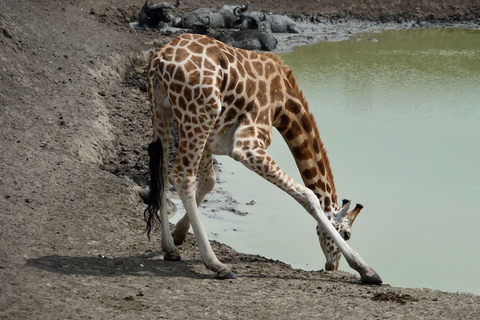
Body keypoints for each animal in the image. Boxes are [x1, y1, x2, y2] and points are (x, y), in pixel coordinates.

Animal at [143, 31, 382, 282]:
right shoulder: (246, 144)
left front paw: (179, 234)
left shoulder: (212, 138)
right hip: (200, 114)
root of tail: (160, 60)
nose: (332, 266)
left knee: (161, 172)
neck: (284, 103)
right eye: (346, 234)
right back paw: (217, 265)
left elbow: (209, 182)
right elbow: (309, 197)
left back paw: (169, 249)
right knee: (181, 175)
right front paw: (365, 268)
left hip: (164, 110)